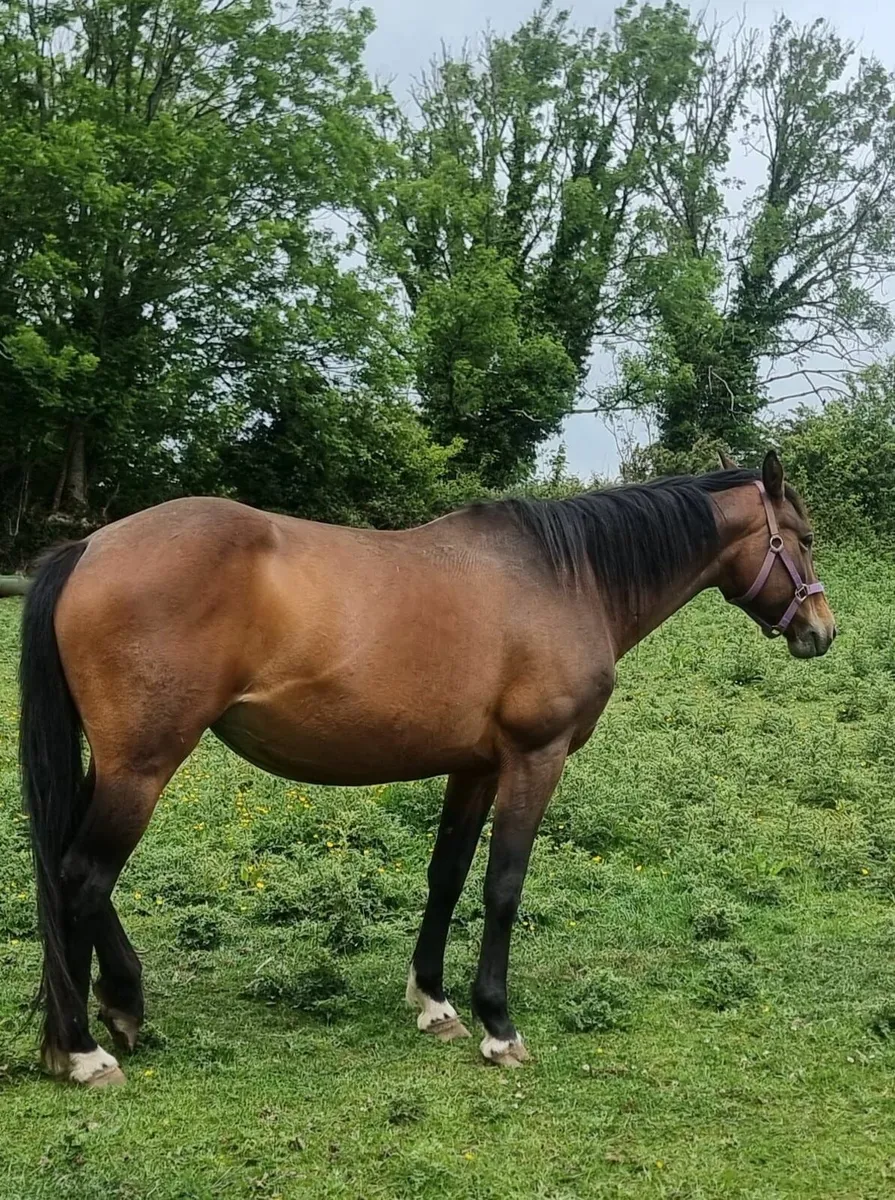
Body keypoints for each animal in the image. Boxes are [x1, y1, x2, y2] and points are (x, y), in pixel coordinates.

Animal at [18, 450, 835, 1087]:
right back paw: (88, 1049)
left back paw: (112, 1007)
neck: (565, 579)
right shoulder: (533, 760)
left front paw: (434, 1002)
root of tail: (88, 549)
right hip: (143, 767)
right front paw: (497, 1025)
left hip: (112, 766)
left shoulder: (473, 768)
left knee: (67, 872)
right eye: (803, 538)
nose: (820, 631)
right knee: (83, 877)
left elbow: (446, 875)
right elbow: (503, 886)